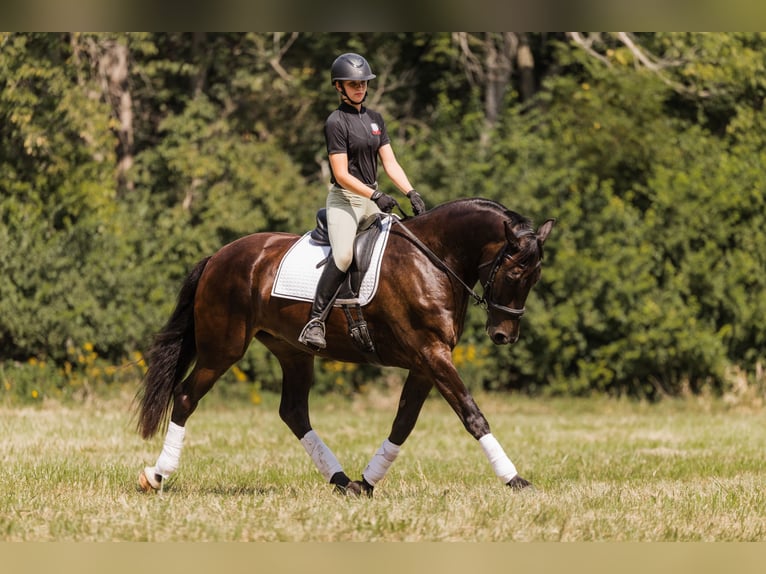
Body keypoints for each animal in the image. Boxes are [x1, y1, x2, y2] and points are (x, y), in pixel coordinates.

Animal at [135, 197, 554, 496]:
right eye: (515, 272)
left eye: (535, 277)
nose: (504, 335)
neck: (432, 260)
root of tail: (218, 257)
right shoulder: (431, 354)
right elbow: (472, 414)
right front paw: (515, 480)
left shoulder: (425, 362)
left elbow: (403, 423)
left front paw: (366, 483)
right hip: (222, 348)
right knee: (186, 397)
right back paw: (156, 475)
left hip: (293, 352)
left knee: (294, 413)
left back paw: (342, 481)